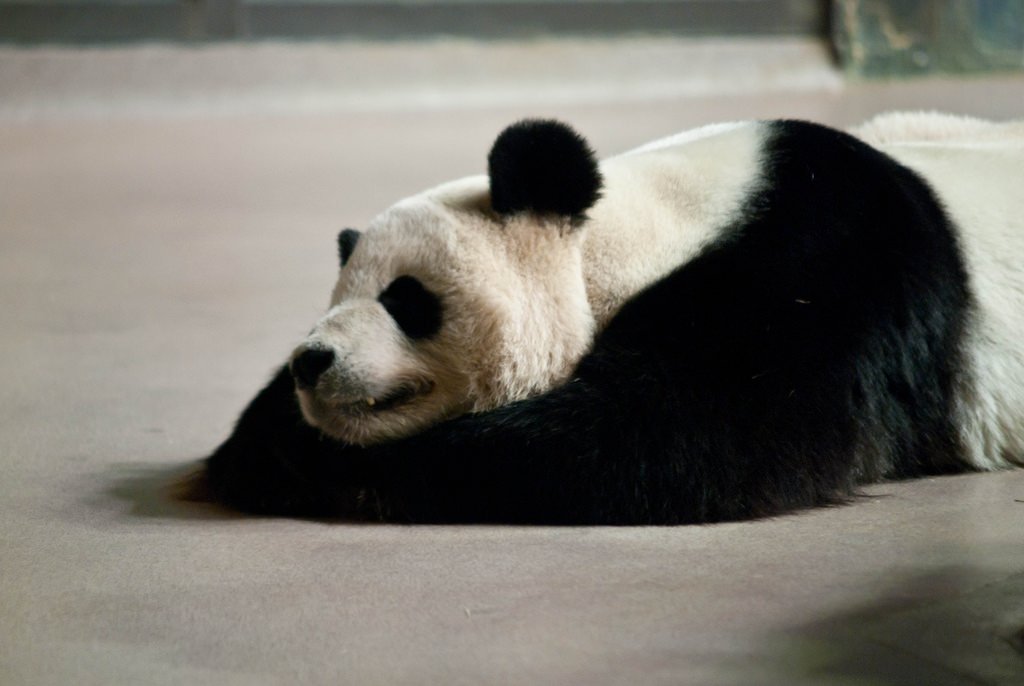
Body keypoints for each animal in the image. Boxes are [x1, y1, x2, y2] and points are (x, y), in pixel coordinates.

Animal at [203, 114, 1024, 524]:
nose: (314, 361)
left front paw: (326, 469)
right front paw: (260, 440)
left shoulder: (819, 267)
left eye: (407, 299)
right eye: (336, 294)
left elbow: (687, 439)